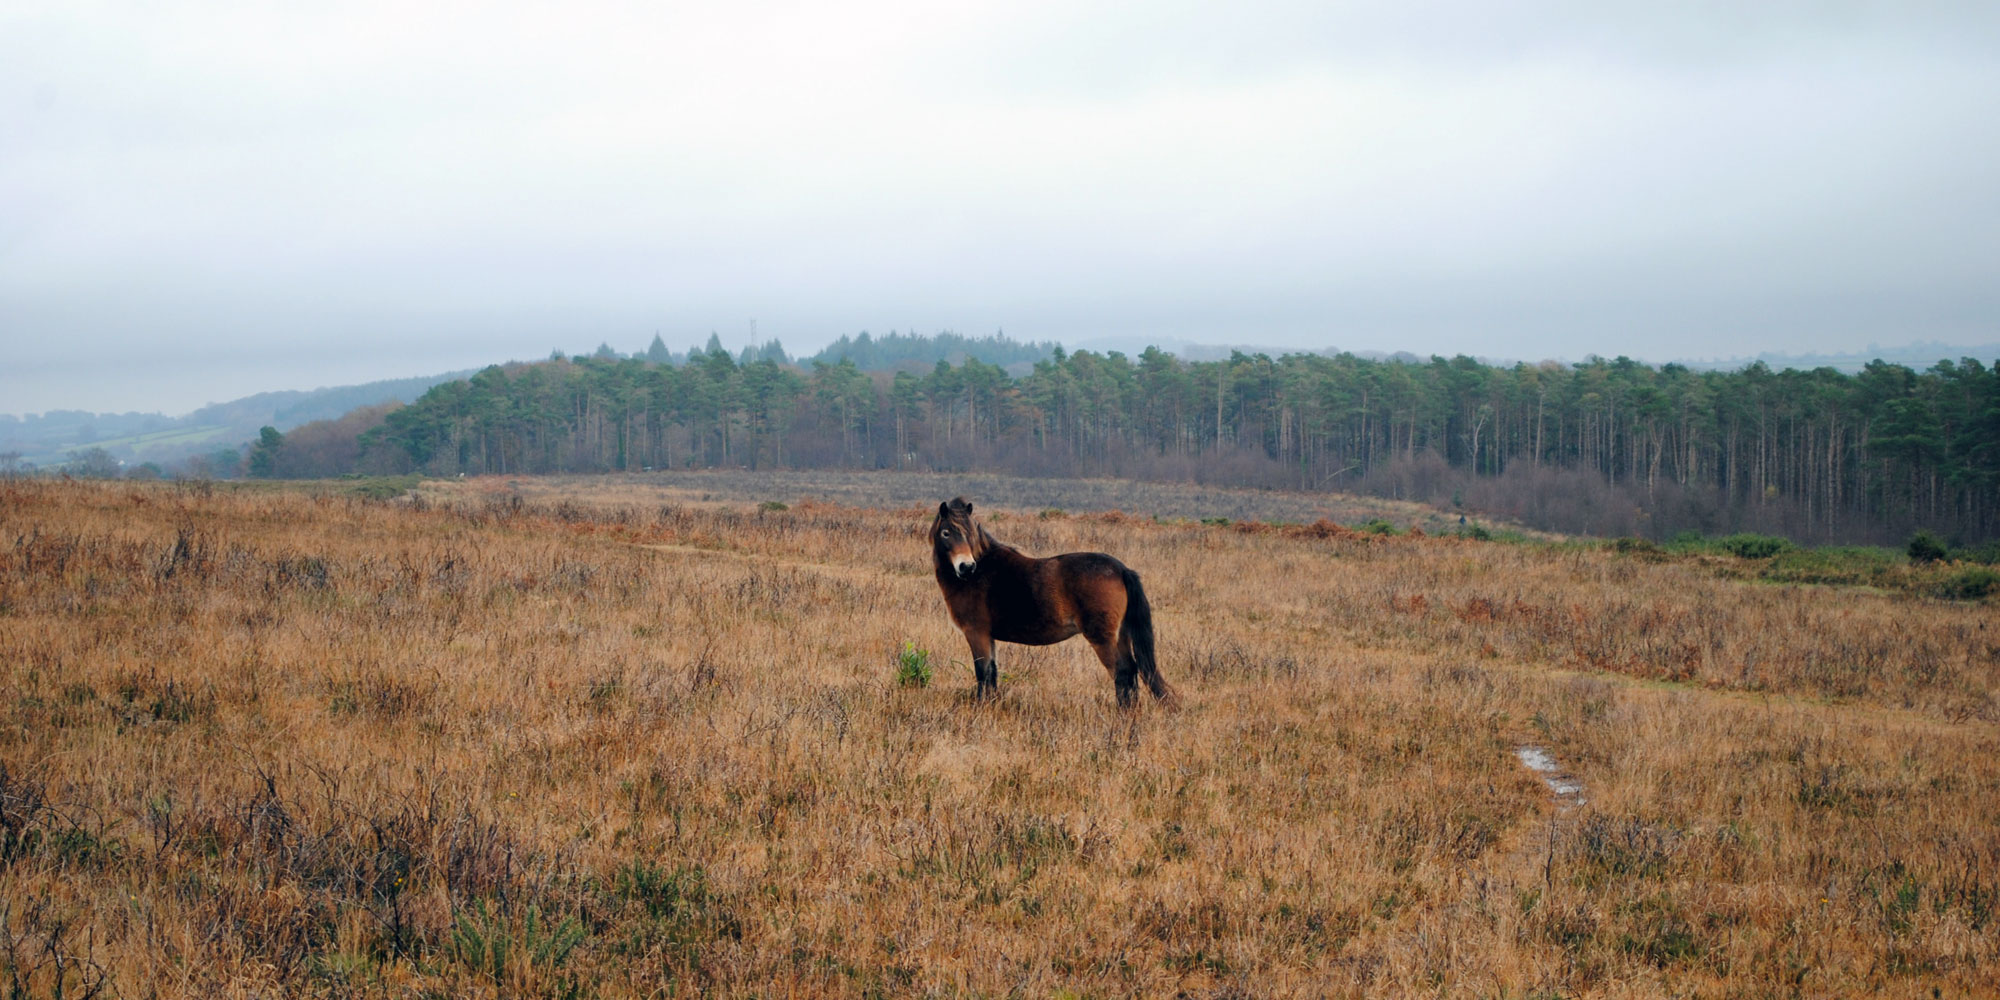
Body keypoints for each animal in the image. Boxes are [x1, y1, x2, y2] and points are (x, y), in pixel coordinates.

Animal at [929, 497, 1177, 708]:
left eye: (968, 533)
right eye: (946, 533)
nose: (966, 567)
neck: (980, 573)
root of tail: (1121, 569)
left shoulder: (976, 633)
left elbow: (982, 673)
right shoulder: (988, 637)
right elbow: (992, 673)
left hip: (1102, 638)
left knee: (1123, 672)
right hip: (1121, 635)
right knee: (1132, 671)